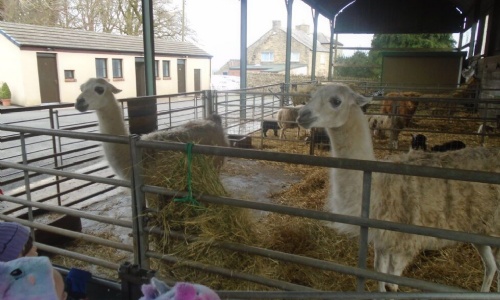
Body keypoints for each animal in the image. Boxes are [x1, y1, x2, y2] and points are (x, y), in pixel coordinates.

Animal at [296, 82, 500, 292]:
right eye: (311, 96)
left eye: (336, 101)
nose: (302, 115)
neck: (376, 186)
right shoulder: (383, 240)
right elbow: (378, 274)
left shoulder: (404, 243)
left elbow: (392, 285)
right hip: (480, 229)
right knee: (491, 266)